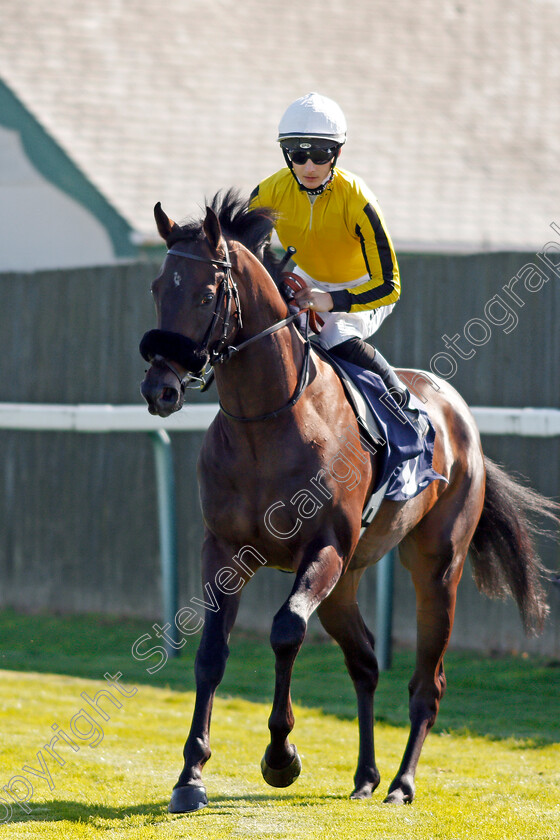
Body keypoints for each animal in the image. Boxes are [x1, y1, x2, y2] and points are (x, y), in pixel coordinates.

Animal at [139, 192, 556, 812]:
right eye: (156, 288)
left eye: (207, 293)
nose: (160, 389)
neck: (268, 424)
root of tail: (461, 418)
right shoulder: (225, 551)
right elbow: (211, 652)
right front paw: (190, 775)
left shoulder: (326, 546)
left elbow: (286, 631)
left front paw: (281, 757)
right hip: (346, 581)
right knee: (364, 661)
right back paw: (365, 775)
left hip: (435, 567)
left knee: (427, 682)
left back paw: (402, 783)